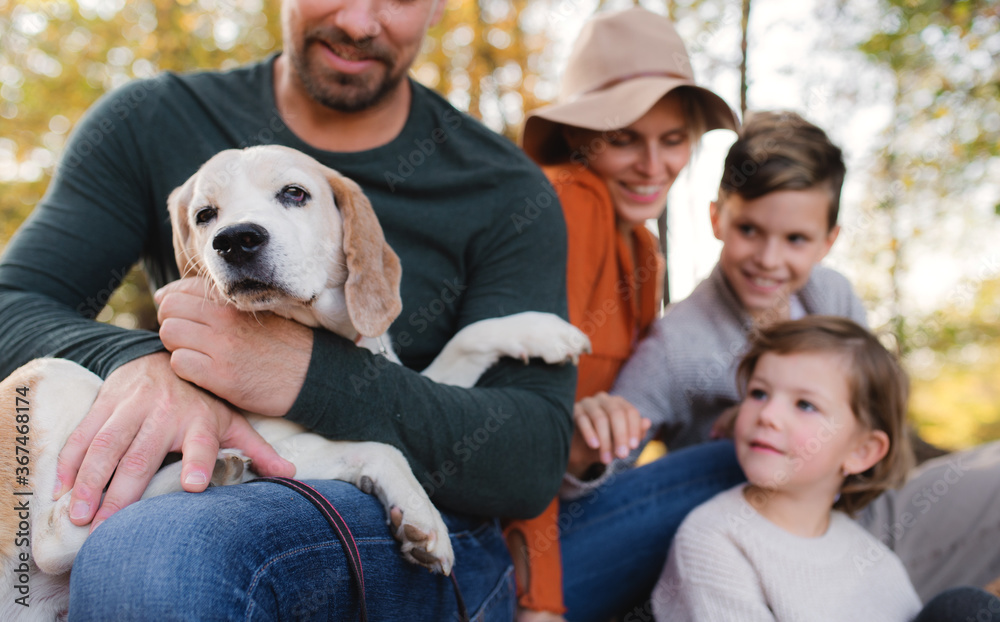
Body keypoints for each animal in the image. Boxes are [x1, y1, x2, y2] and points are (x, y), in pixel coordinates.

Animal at [0, 145, 588, 620]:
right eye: (205, 215)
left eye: (294, 194)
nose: (236, 240)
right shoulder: (278, 446)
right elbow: (382, 447)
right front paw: (422, 515)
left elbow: (467, 338)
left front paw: (543, 331)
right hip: (57, 375)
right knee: (52, 538)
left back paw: (217, 471)